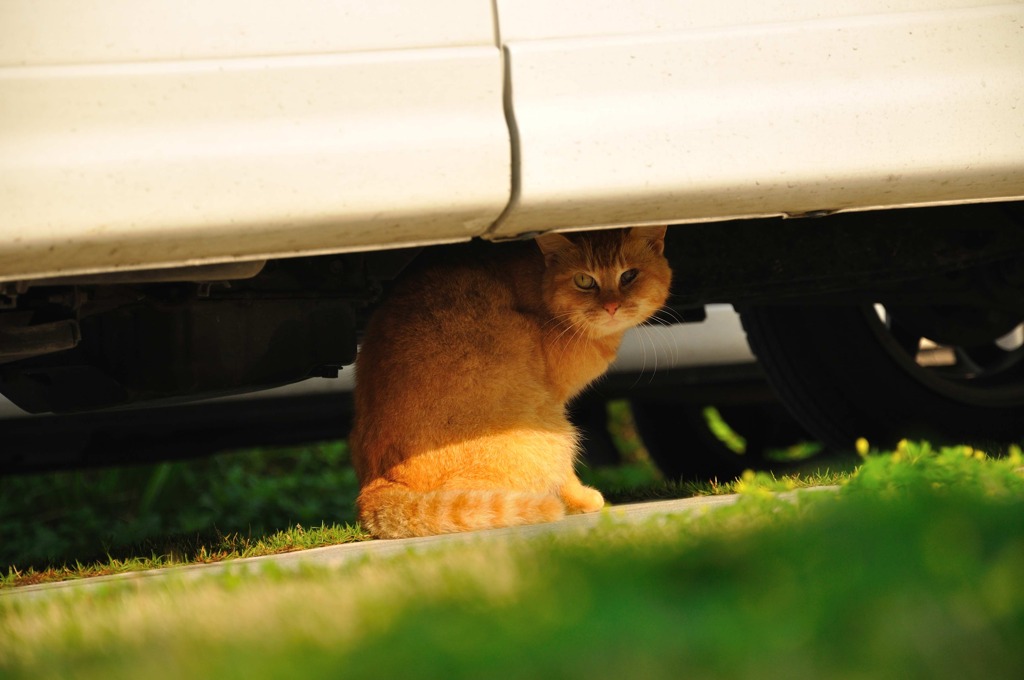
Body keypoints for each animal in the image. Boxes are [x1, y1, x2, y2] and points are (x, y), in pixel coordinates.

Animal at [352, 225, 671, 540]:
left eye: (629, 276)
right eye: (584, 280)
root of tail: (375, 488)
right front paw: (583, 498)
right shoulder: (553, 405)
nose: (612, 306)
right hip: (548, 433)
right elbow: (566, 474)